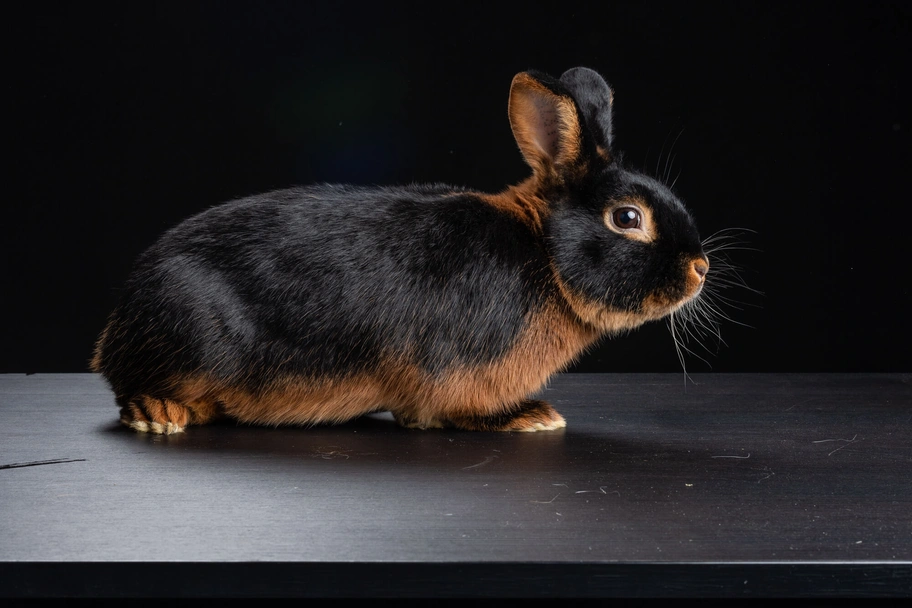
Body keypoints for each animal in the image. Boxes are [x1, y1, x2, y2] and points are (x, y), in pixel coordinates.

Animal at [91, 66, 709, 435]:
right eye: (627, 218)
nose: (700, 267)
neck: (544, 252)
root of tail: (120, 319)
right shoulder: (454, 374)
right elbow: (451, 412)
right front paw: (531, 417)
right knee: (130, 387)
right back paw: (158, 414)